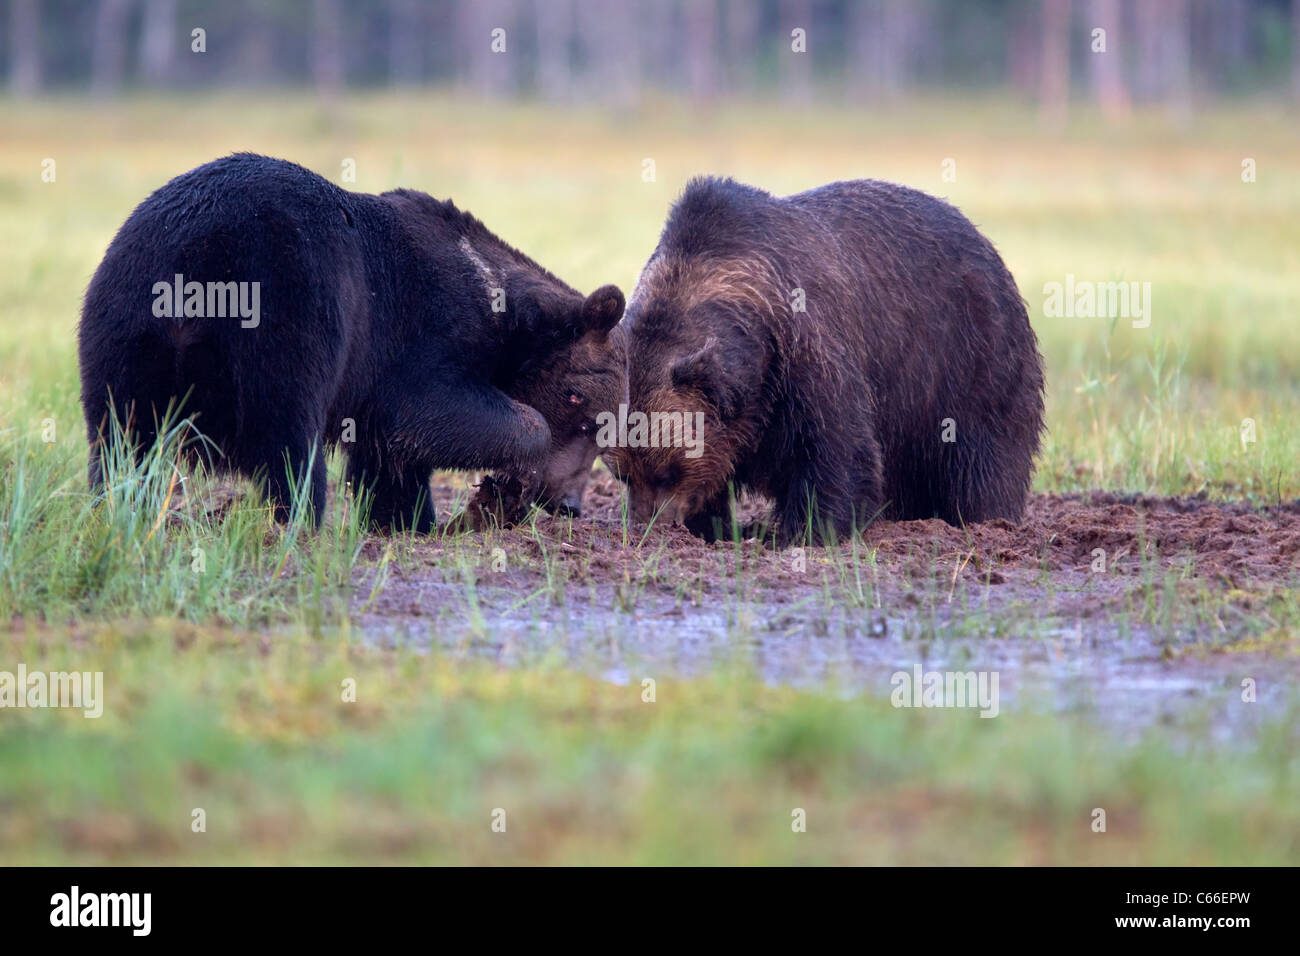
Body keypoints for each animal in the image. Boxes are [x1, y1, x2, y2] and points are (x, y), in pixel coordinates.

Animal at [613, 174, 1050, 541]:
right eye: (622, 473)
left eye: (668, 470)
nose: (645, 526)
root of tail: (985, 241)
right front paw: (712, 526)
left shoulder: (805, 353)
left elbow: (835, 445)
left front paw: (804, 531)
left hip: (968, 357)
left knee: (982, 456)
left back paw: (984, 522)